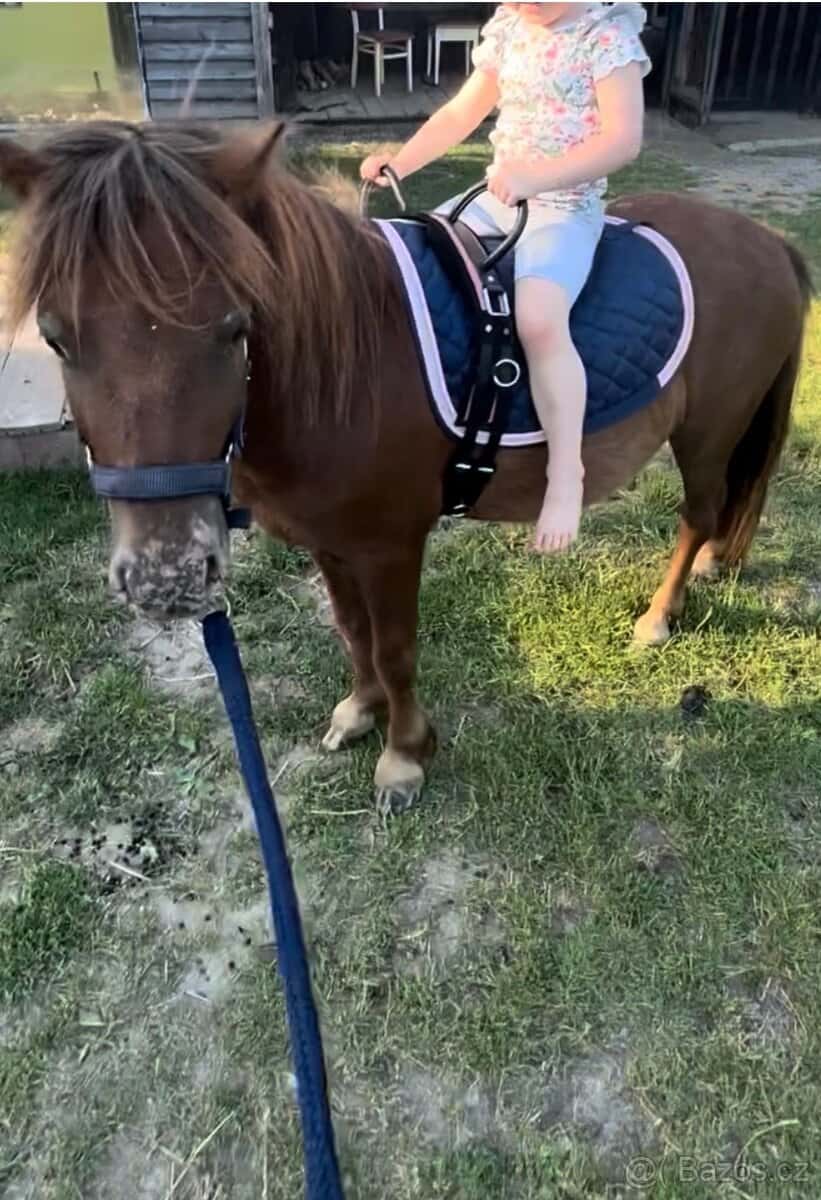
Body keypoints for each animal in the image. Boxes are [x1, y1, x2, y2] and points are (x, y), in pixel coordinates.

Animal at [0, 121, 813, 812]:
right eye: (57, 337)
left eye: (234, 325)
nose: (166, 579)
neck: (346, 362)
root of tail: (769, 241)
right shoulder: (328, 541)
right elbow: (351, 632)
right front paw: (359, 713)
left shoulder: (391, 545)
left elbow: (393, 649)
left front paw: (403, 756)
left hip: (707, 432)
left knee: (699, 513)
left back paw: (658, 616)